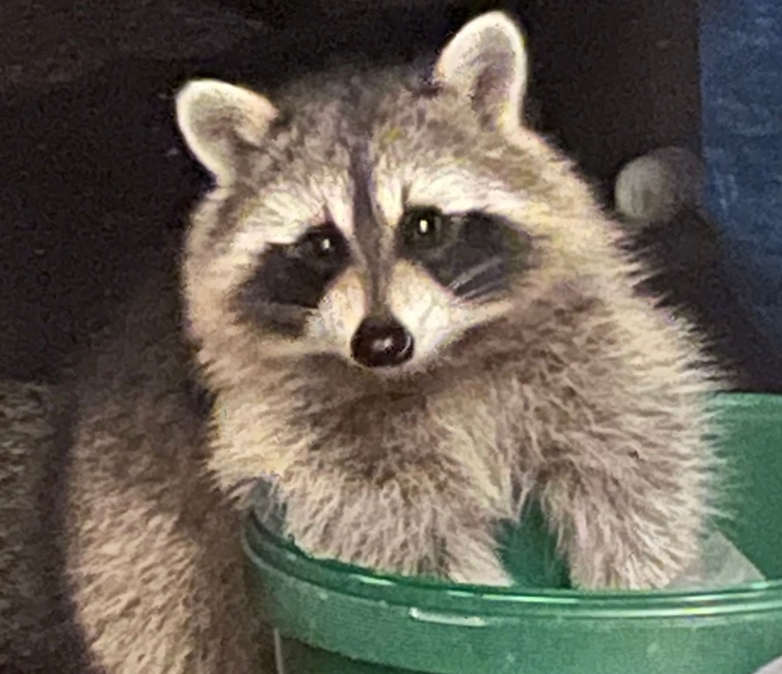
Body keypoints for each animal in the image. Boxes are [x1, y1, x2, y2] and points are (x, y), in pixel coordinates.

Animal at [59, 10, 724, 672]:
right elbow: (392, 527)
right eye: (322, 245)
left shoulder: (581, 341)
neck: (432, 363)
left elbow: (633, 450)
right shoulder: (287, 425)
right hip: (136, 530)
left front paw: (637, 584)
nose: (381, 343)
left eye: (424, 225)